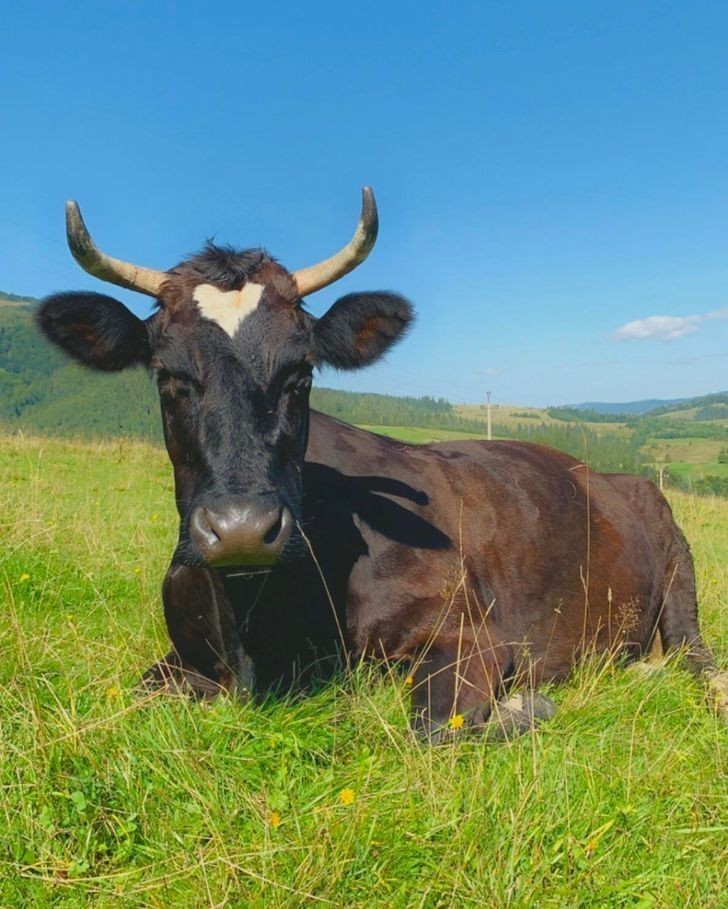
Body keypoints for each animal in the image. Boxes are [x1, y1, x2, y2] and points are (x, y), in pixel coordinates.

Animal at [41, 190, 728, 736]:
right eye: (168, 375)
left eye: (301, 372)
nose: (240, 530)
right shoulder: (183, 659)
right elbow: (129, 696)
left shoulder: (470, 634)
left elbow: (435, 730)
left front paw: (523, 706)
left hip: (678, 567)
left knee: (697, 656)